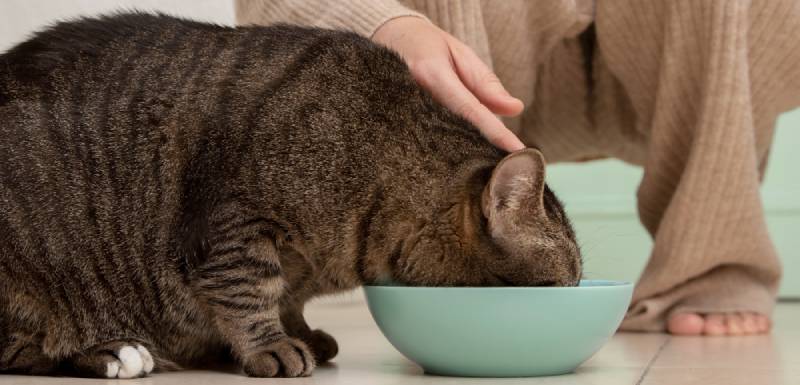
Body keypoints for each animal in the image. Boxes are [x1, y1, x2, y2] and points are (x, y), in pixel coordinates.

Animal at [0, 12, 580, 378]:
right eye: (560, 284)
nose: (578, 293)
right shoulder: (231, 223)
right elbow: (249, 290)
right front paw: (271, 345)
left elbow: (288, 298)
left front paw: (298, 331)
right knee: (25, 349)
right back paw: (114, 351)